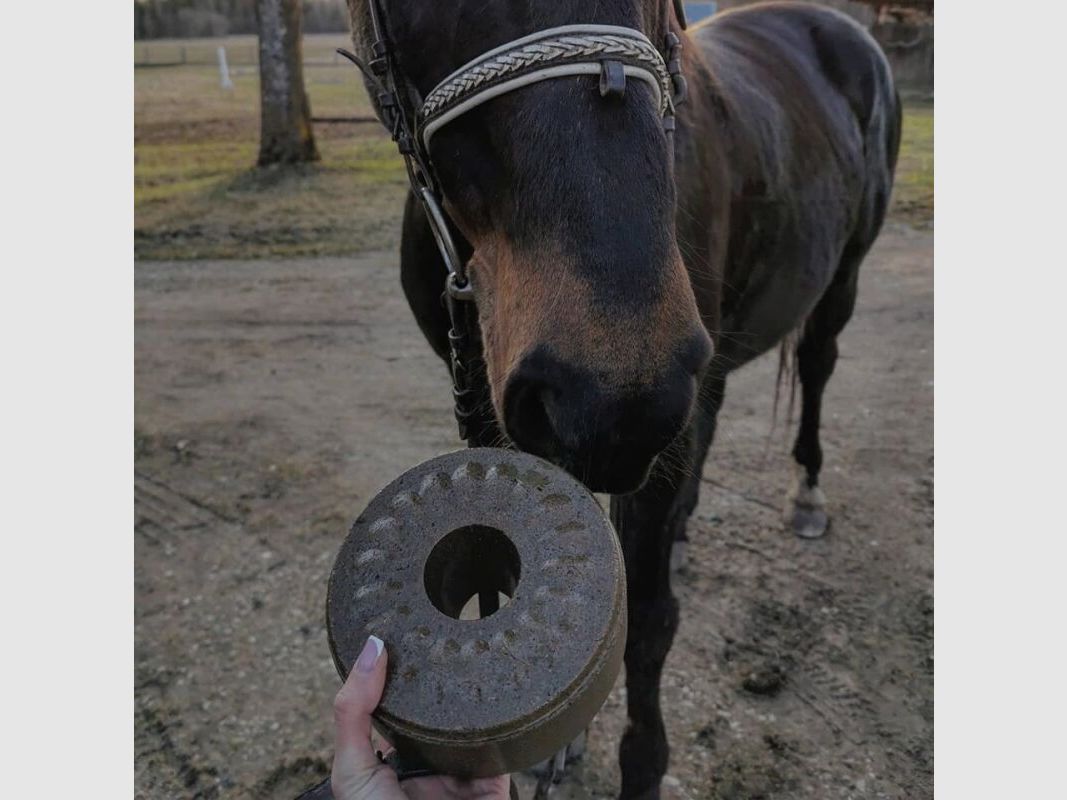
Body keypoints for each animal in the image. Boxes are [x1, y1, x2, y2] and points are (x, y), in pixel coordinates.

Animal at [343, 1, 900, 797]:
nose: (617, 391)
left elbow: (648, 619)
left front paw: (640, 761)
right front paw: (556, 743)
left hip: (835, 281)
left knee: (817, 366)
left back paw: (805, 492)